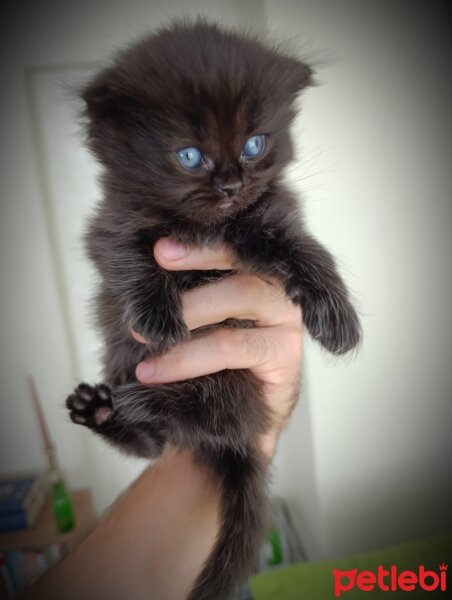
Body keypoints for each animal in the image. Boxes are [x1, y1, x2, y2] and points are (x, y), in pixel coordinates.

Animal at [67, 21, 362, 600]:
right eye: (189, 156)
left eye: (254, 144)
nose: (230, 185)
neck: (207, 226)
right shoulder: (111, 223)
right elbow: (129, 255)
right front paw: (157, 313)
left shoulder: (269, 213)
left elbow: (306, 249)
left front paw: (336, 314)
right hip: (133, 360)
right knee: (162, 440)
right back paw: (108, 409)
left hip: (231, 378)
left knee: (200, 419)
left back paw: (128, 406)